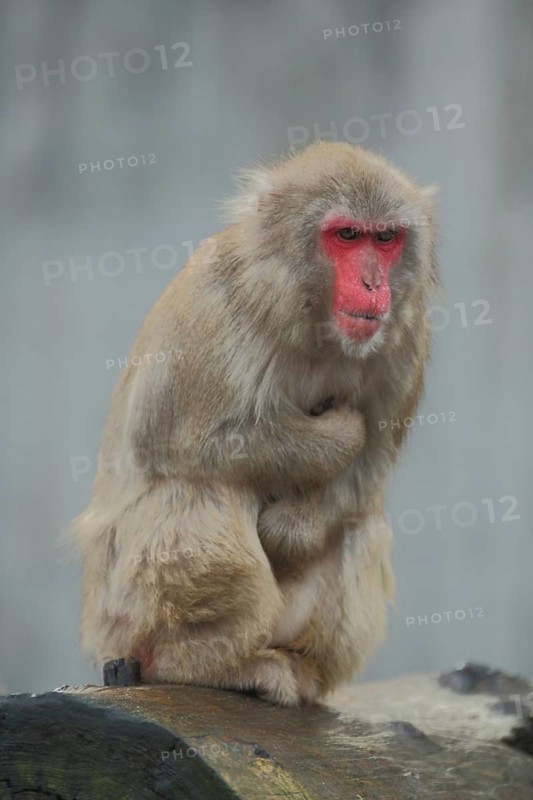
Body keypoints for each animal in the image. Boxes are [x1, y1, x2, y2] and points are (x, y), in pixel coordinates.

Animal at [71, 141, 438, 707]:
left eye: (385, 238)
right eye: (346, 235)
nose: (373, 283)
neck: (311, 318)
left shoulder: (406, 336)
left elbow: (371, 467)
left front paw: (290, 530)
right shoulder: (212, 308)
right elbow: (186, 442)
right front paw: (336, 436)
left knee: (360, 525)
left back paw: (303, 667)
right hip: (122, 619)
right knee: (202, 491)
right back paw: (201, 663)